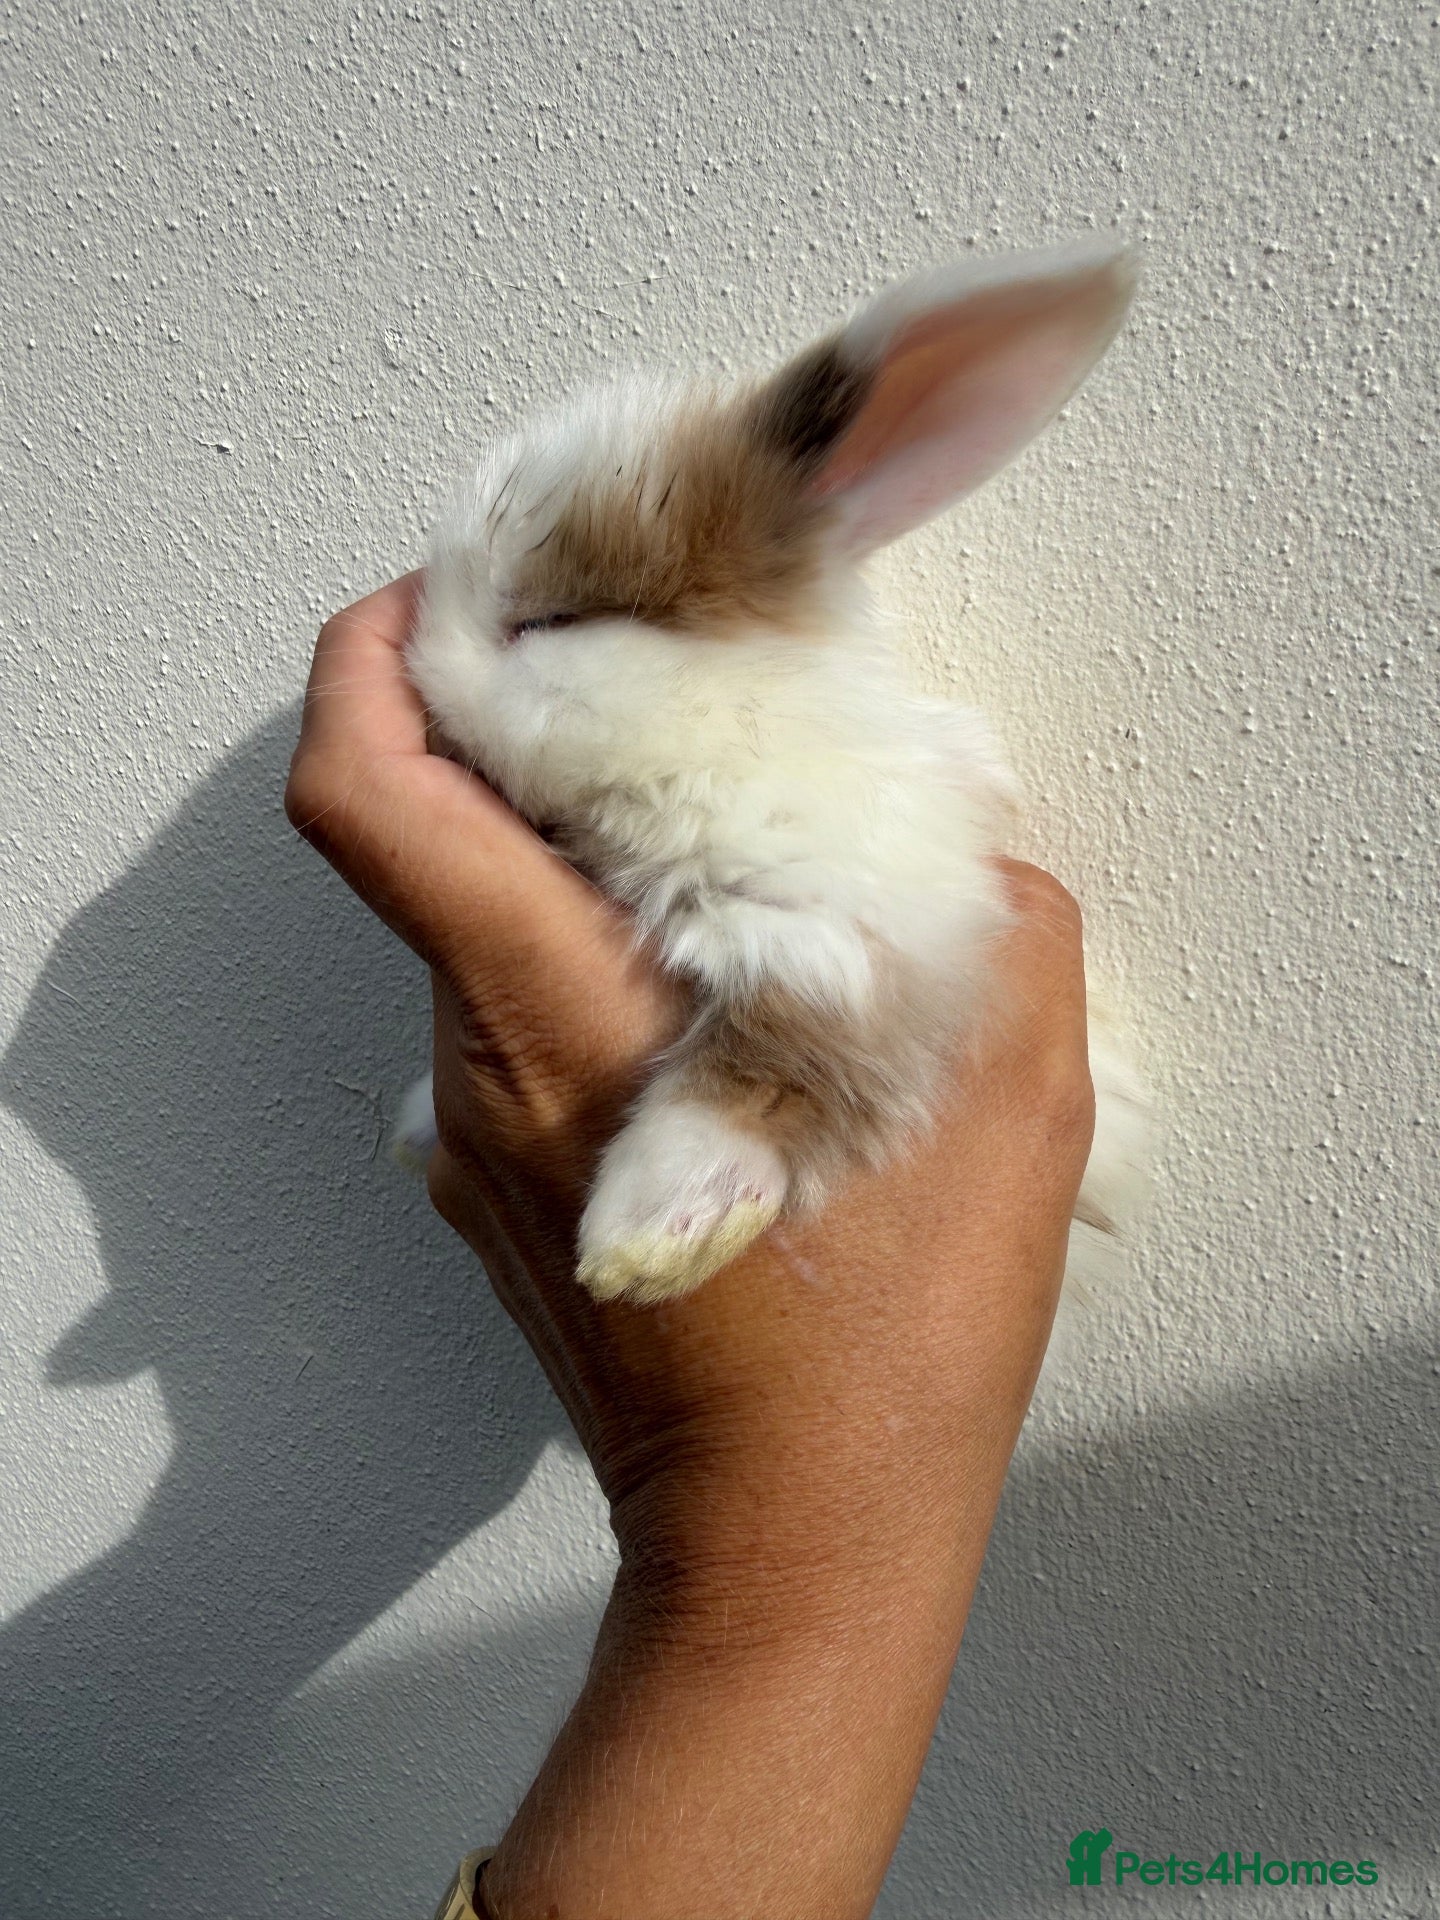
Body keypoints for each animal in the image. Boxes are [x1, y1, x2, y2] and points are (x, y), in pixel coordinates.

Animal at [404, 242, 1149, 1308]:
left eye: (547, 622)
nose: (420, 675)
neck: (709, 732)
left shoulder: (846, 934)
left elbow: (773, 1071)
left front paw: (647, 1241)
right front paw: (414, 1117)